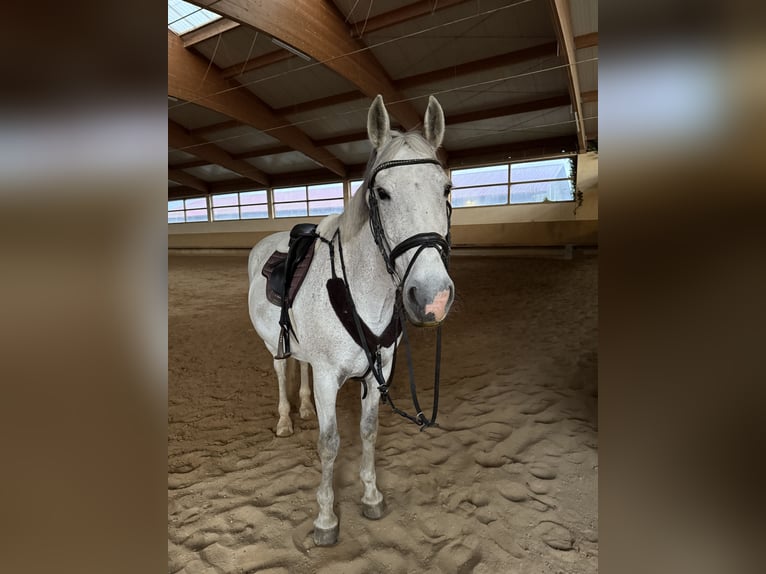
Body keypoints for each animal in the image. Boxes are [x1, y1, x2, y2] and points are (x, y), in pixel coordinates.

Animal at [247, 94, 455, 546]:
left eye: (447, 188)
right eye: (382, 193)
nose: (433, 298)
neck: (362, 293)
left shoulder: (380, 373)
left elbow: (368, 430)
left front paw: (372, 497)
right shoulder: (329, 377)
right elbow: (330, 443)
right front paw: (326, 519)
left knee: (302, 370)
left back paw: (304, 409)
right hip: (274, 346)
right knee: (281, 371)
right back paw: (286, 420)